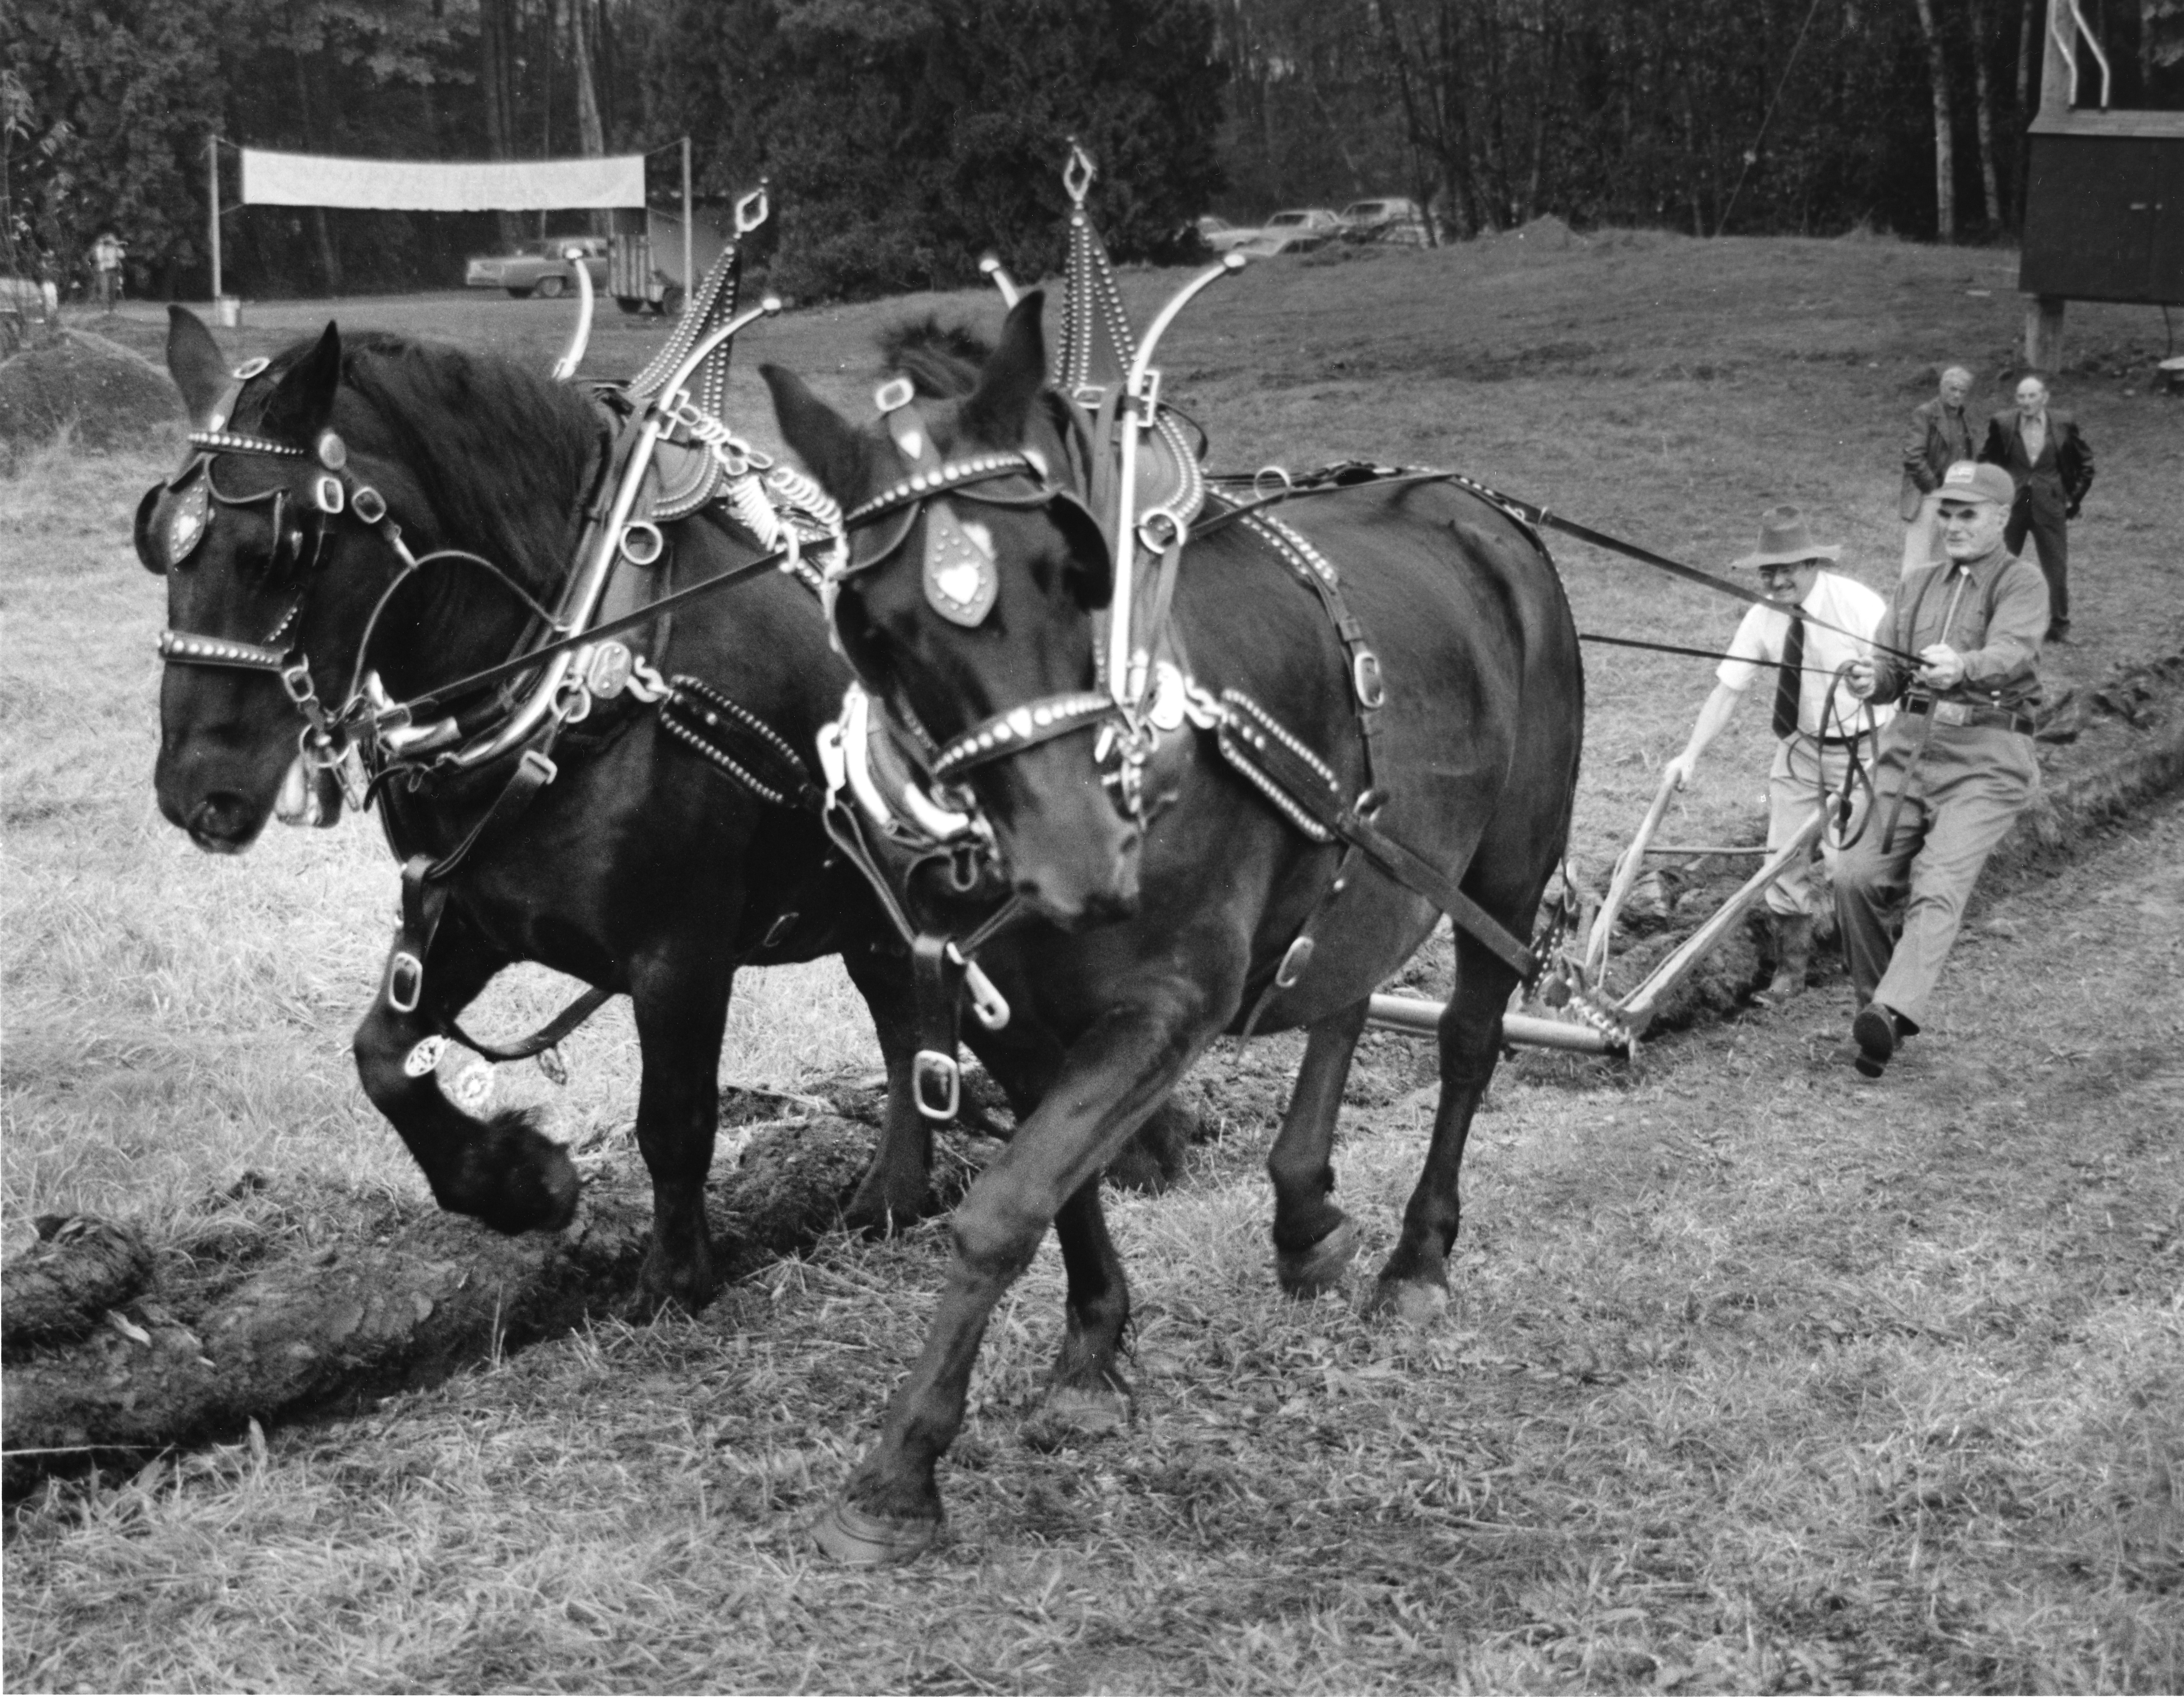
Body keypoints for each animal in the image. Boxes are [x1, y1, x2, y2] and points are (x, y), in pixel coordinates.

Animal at [141, 308, 943, 1310]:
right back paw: (894, 1195)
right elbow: (382, 1053)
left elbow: (673, 1119)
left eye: (280, 550)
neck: (583, 659)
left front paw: (673, 1279)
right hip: (874, 903)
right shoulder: (470, 915)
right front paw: (522, 1182)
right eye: (156, 537)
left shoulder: (683, 952)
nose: (194, 789)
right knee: (908, 1013)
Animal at [768, 294, 1590, 1563]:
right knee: (1346, 984)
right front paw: (1092, 1356)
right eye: (874, 623)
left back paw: (1416, 1257)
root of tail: (1474, 511)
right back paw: (1305, 1215)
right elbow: (1059, 1185)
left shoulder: (1175, 998)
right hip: (1366, 841)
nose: (1078, 857)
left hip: (1508, 865)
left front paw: (900, 1467)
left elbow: (1002, 1205)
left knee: (1465, 1042)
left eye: (1071, 569)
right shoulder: (1002, 1009)